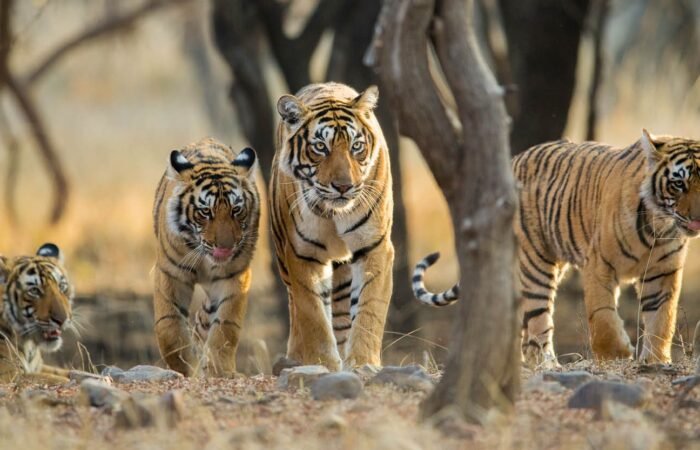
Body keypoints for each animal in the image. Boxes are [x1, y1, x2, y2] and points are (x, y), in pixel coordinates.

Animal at [0, 243, 74, 383]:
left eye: (61, 286)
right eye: (34, 290)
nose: (62, 320)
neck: (30, 347)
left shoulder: (39, 367)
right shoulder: (10, 375)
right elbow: (58, 379)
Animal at [152, 138, 260, 377]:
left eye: (236, 210)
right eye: (205, 212)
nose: (226, 247)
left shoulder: (235, 276)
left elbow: (225, 326)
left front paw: (218, 370)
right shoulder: (170, 273)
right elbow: (169, 326)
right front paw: (184, 368)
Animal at [270, 82, 394, 371]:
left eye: (356, 146)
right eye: (320, 147)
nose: (344, 186)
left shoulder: (375, 247)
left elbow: (369, 309)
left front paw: (362, 363)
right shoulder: (302, 254)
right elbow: (313, 315)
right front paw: (322, 363)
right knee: (297, 308)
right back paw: (295, 357)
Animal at [412, 130, 700, 367]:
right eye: (679, 184)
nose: (697, 217)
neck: (658, 227)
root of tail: (514, 160)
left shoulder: (663, 272)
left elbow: (661, 318)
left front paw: (656, 360)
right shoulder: (599, 264)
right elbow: (603, 316)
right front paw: (616, 355)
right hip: (536, 262)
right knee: (538, 319)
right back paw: (546, 364)